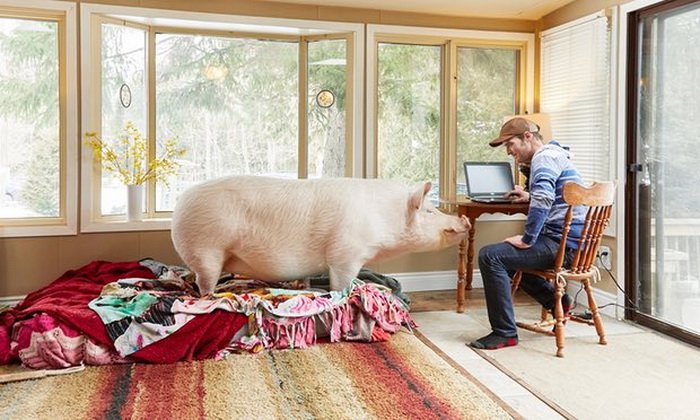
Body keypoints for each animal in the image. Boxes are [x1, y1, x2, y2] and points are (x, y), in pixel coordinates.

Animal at [171, 175, 470, 296]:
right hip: (206, 248)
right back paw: (211, 296)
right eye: (430, 211)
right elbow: (341, 282)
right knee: (204, 282)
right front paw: (344, 294)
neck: (385, 218)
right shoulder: (345, 253)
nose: (464, 220)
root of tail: (181, 202)